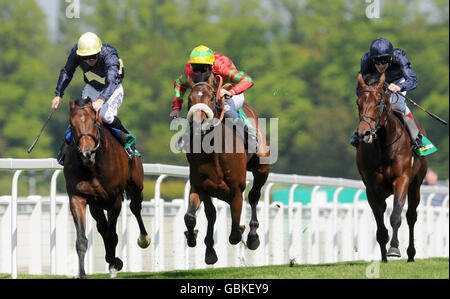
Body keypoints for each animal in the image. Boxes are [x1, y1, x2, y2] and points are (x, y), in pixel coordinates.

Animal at [62, 98, 150, 278]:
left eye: (95, 122)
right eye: (71, 125)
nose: (86, 153)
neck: (93, 167)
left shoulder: (114, 200)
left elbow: (112, 235)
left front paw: (115, 264)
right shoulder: (77, 198)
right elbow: (82, 239)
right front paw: (82, 273)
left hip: (136, 184)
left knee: (135, 207)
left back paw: (144, 238)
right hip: (96, 204)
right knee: (102, 226)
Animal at [183, 75, 270, 264]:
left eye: (211, 97)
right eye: (189, 99)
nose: (198, 123)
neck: (214, 153)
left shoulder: (236, 190)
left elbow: (235, 234)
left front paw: (243, 231)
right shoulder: (200, 186)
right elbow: (195, 216)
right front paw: (196, 240)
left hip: (262, 168)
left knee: (254, 196)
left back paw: (253, 236)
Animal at [356, 74, 428, 264]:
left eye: (378, 102)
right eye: (358, 102)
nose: (364, 133)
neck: (383, 146)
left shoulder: (402, 179)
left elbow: (396, 216)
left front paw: (394, 249)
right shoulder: (371, 188)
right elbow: (380, 224)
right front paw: (383, 257)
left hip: (415, 185)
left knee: (411, 216)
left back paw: (411, 254)